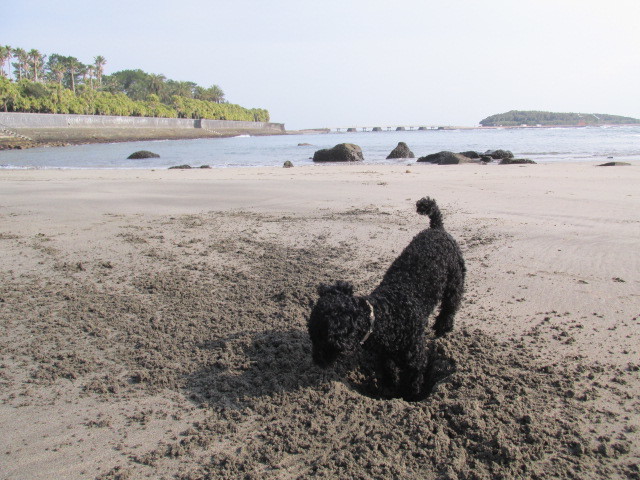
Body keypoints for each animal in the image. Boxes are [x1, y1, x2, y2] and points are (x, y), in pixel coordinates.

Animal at [306, 197, 464, 400]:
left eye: (322, 338)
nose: (316, 361)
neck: (384, 315)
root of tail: (437, 228)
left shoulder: (414, 357)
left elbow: (413, 379)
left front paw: (409, 395)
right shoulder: (384, 356)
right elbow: (388, 372)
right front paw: (388, 390)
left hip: (455, 281)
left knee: (450, 305)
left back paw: (443, 327)